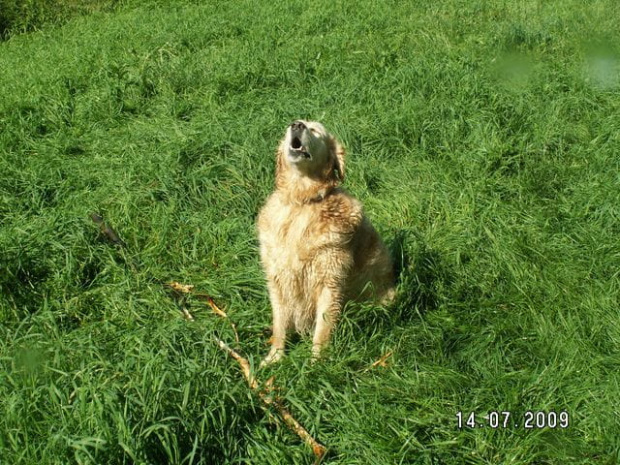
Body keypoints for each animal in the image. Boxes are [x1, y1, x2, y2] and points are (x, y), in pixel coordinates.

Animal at [258, 120, 394, 366]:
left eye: (315, 130)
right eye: (294, 124)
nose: (297, 125)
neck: (302, 201)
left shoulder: (330, 281)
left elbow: (323, 329)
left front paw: (316, 365)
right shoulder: (277, 278)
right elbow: (279, 325)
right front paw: (274, 358)